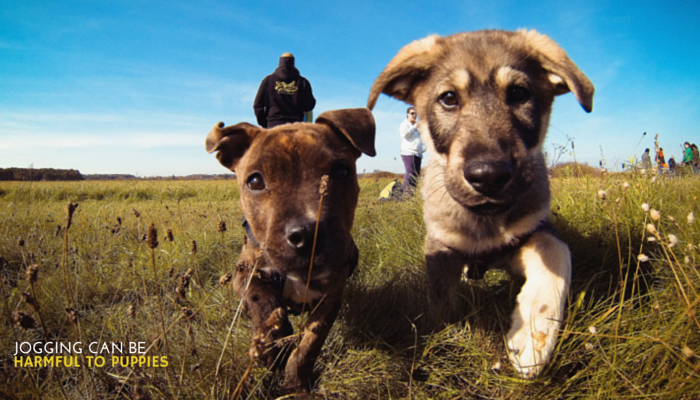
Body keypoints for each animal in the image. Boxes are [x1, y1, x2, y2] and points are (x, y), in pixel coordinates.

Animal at [205, 108, 374, 392]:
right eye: (255, 181)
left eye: (341, 171)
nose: (307, 234)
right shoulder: (245, 272)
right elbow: (263, 303)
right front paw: (272, 343)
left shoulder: (330, 297)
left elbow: (309, 344)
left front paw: (295, 383)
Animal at [370, 29, 592, 376]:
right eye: (449, 98)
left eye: (518, 93)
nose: (488, 176)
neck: (484, 223)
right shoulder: (440, 247)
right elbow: (442, 304)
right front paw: (445, 338)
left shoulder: (534, 230)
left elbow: (557, 256)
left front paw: (534, 336)